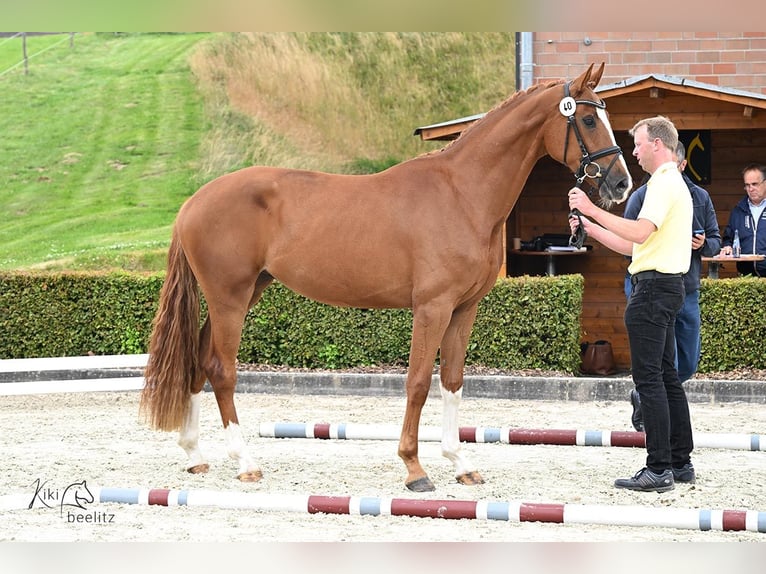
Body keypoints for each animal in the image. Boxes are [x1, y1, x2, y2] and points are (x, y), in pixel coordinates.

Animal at [141, 64, 632, 496]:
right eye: (589, 118)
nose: (621, 184)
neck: (462, 193)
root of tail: (193, 203)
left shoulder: (463, 309)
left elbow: (452, 381)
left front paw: (461, 463)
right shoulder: (431, 307)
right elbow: (417, 383)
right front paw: (415, 469)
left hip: (244, 294)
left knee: (197, 361)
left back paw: (195, 454)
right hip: (229, 297)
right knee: (221, 370)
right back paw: (245, 462)